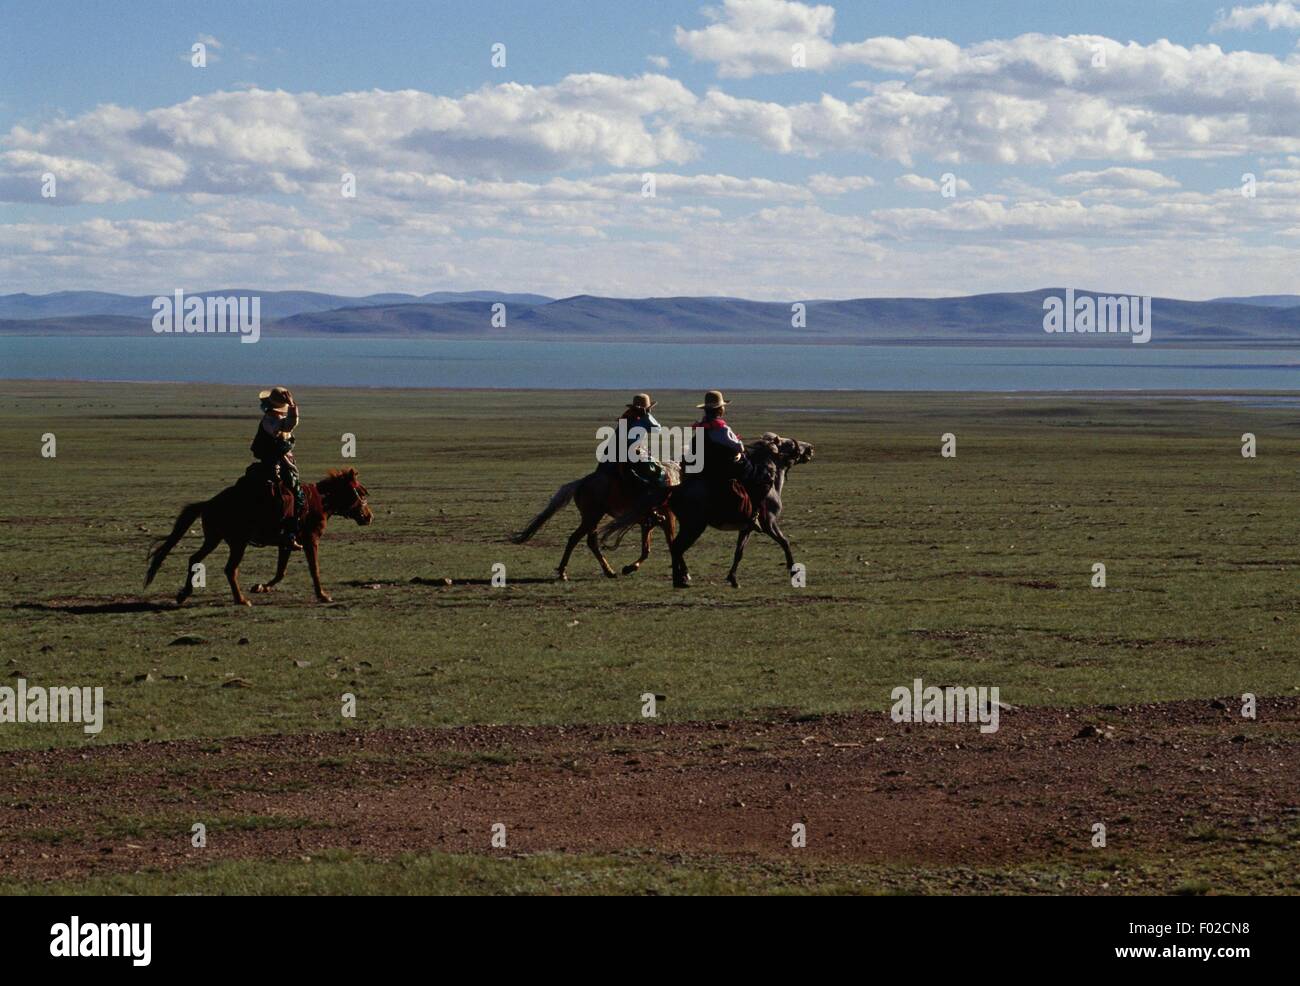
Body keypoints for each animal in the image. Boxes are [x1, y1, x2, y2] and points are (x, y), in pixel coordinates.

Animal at [144, 468, 374, 606]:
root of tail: (209, 503)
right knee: (230, 569)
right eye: (361, 493)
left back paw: (184, 594)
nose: (369, 516)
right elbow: (314, 569)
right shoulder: (311, 540)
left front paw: (262, 587)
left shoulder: (287, 543)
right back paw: (240, 600)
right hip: (238, 543)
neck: (320, 502)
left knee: (195, 559)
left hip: (213, 539)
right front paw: (323, 595)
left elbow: (281, 571)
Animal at [512, 463, 686, 580]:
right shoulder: (668, 518)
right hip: (591, 517)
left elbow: (646, 549)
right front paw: (684, 573)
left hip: (593, 518)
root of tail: (581, 482)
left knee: (590, 541)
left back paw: (608, 571)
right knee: (576, 539)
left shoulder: (648, 522)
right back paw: (563, 572)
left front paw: (629, 568)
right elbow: (671, 544)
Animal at [600, 431, 811, 587]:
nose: (810, 448)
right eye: (789, 444)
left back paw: (677, 576)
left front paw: (733, 579)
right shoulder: (769, 524)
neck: (769, 483)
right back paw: (680, 580)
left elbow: (739, 552)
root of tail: (676, 488)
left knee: (675, 546)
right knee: (677, 547)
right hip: (694, 526)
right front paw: (793, 569)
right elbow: (785, 542)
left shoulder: (747, 527)